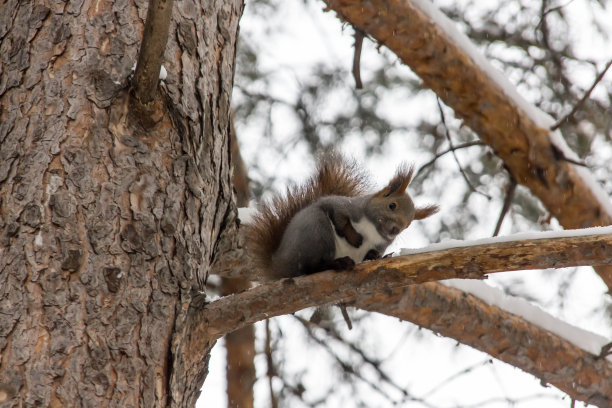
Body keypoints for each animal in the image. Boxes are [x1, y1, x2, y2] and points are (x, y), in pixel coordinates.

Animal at [249, 151, 440, 280]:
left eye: (408, 225)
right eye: (392, 205)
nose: (395, 230)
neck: (373, 228)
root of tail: (278, 265)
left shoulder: (383, 243)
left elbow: (375, 251)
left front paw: (375, 256)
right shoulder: (346, 206)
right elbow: (340, 217)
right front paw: (354, 237)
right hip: (316, 231)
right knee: (310, 267)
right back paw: (337, 263)